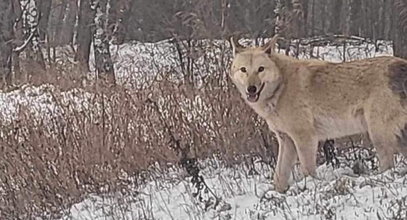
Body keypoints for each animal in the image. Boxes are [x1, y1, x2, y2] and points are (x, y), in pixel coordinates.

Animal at [231, 35, 407, 192]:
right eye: (244, 70)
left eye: (260, 69)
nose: (251, 89)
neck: (281, 87)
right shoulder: (286, 141)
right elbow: (279, 177)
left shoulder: (305, 138)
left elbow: (308, 171)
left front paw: (309, 188)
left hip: (378, 136)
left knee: (388, 166)